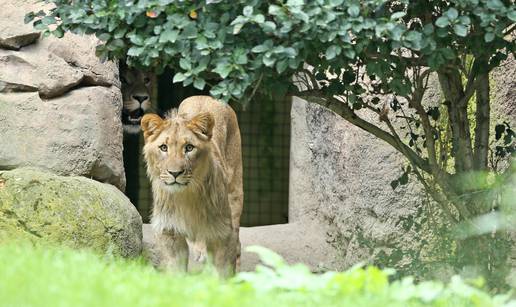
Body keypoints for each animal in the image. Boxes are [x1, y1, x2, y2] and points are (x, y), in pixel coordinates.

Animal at [141, 95, 244, 276]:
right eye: (163, 148)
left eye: (189, 148)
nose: (175, 173)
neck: (186, 196)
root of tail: (206, 97)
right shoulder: (169, 230)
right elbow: (175, 269)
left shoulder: (223, 232)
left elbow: (222, 270)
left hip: (235, 192)